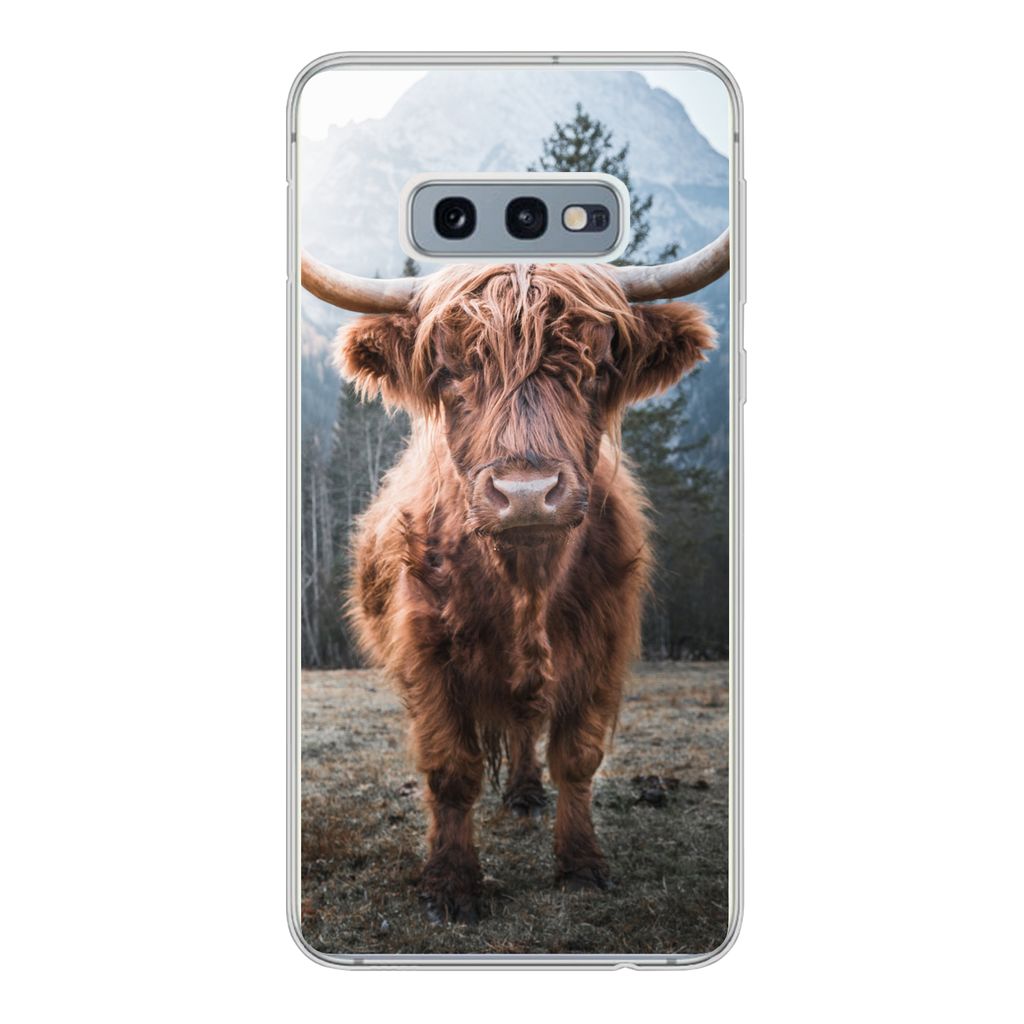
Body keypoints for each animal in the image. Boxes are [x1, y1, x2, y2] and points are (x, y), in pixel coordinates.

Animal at [301, 232, 729, 923]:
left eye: (597, 366)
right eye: (450, 371)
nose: (526, 494)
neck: (526, 583)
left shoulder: (603, 647)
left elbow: (577, 758)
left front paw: (580, 865)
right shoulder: (426, 654)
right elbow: (451, 768)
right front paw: (451, 884)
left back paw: (527, 794)